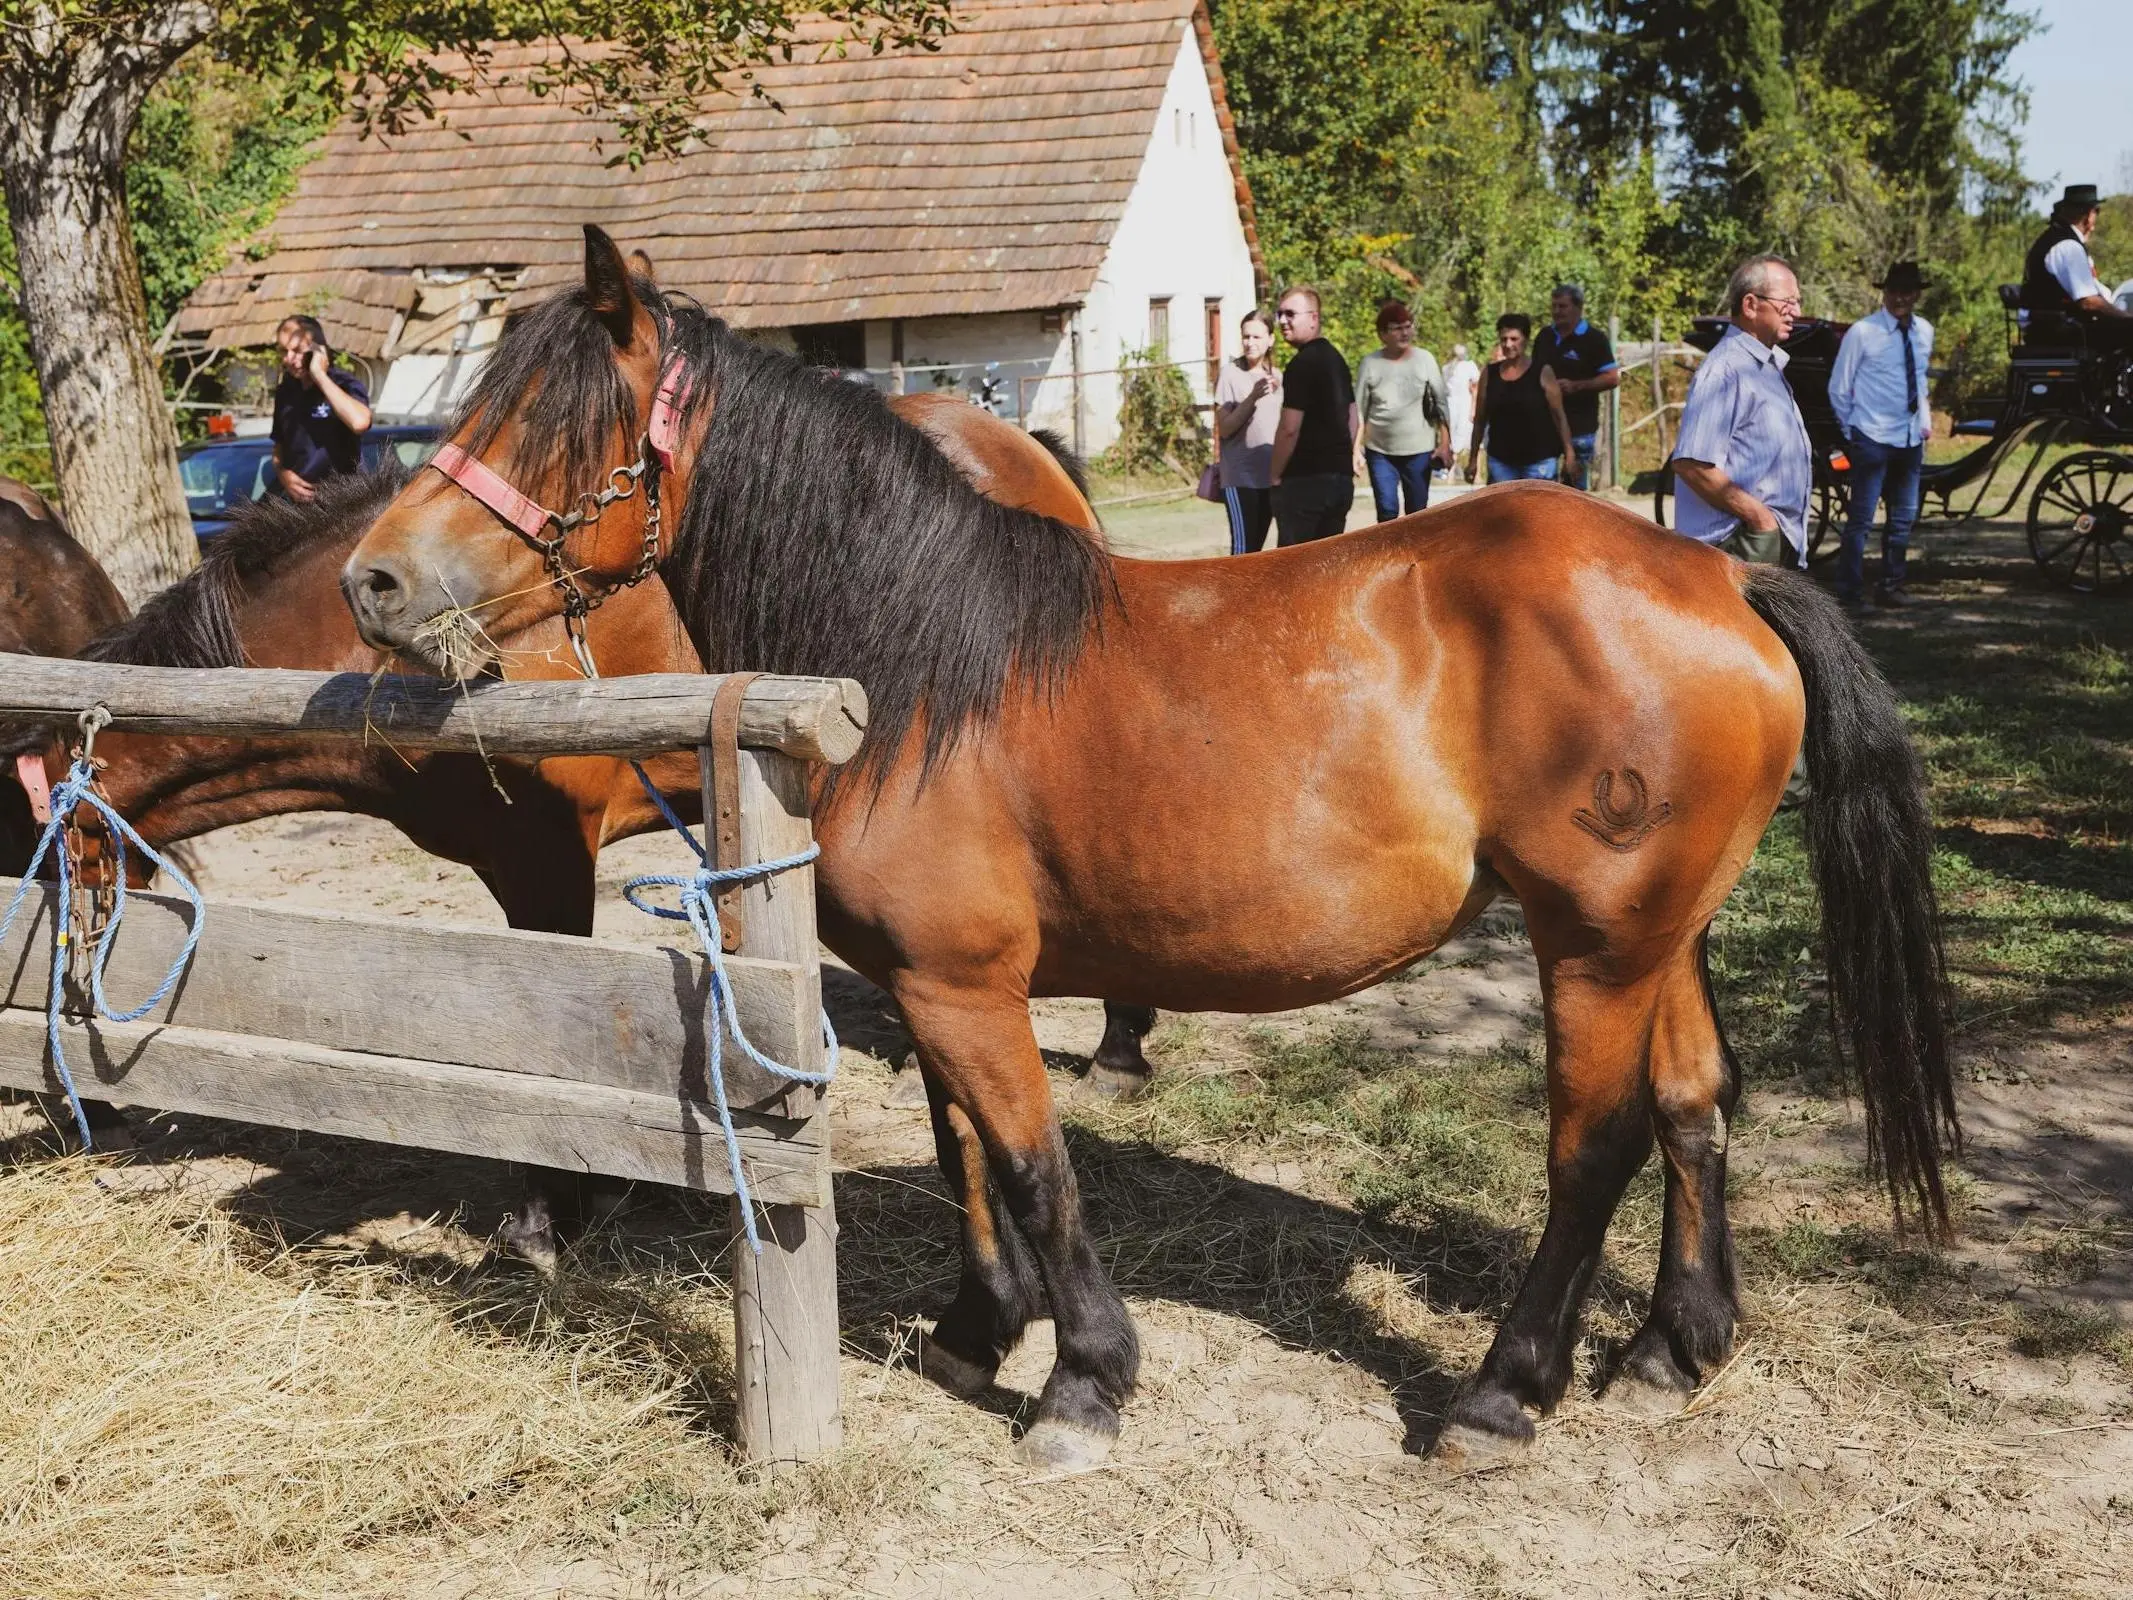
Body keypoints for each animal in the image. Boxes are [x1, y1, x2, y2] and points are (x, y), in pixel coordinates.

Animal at [337, 231, 1962, 1476]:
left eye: (557, 428)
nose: (373, 579)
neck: (921, 662)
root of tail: (1723, 579)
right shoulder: (934, 985)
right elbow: (967, 1151)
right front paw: (975, 1329)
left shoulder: (964, 984)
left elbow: (1034, 1163)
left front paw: (1080, 1382)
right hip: (1654, 931)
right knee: (1694, 1105)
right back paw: (1677, 1347)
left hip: (1596, 945)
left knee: (1597, 1143)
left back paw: (1503, 1393)